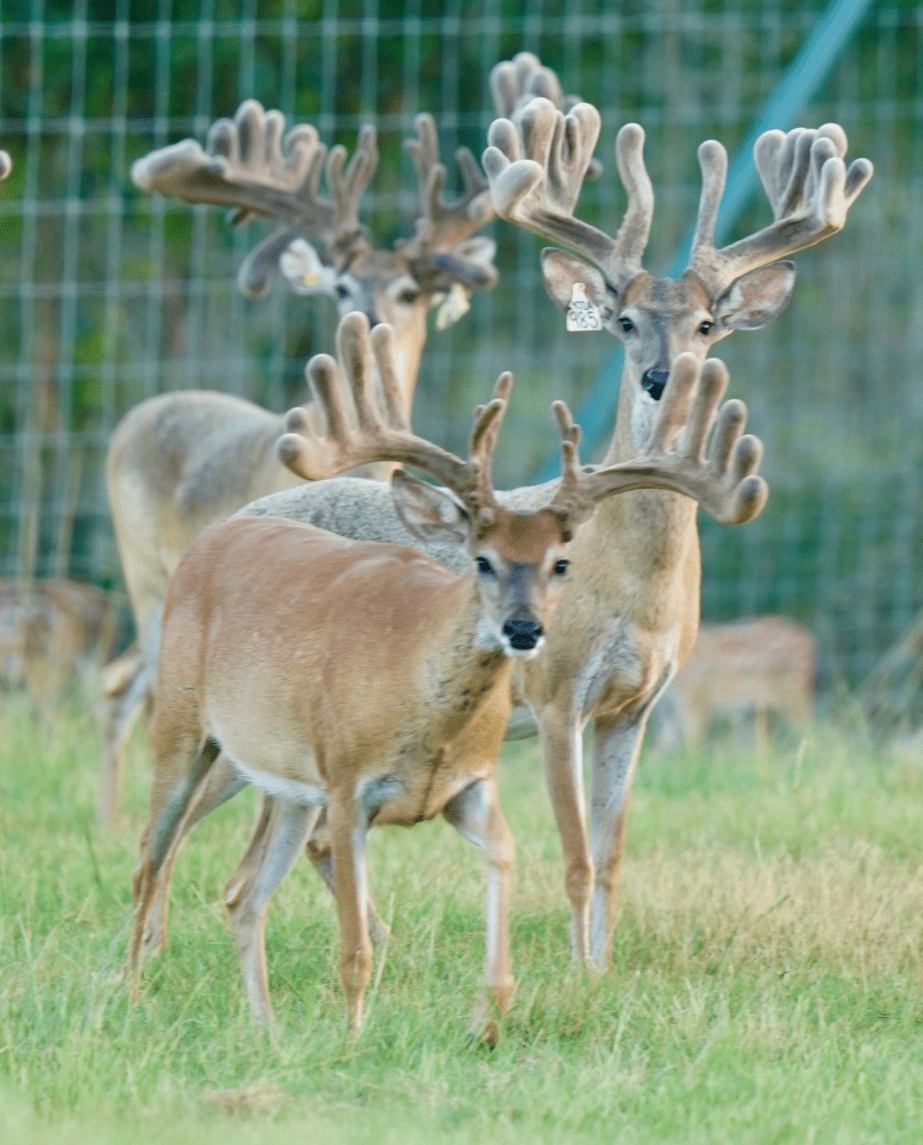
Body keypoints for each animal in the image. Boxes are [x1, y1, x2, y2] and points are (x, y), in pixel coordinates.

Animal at [100, 54, 594, 828]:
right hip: (145, 574)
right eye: (336, 284)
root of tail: (138, 414)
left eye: (413, 290)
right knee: (135, 692)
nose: (369, 319)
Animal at [172, 94, 871, 968]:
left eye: (708, 323)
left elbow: (611, 851)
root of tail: (227, 528)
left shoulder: (638, 703)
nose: (660, 376)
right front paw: (576, 971)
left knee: (280, 847)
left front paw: (602, 968)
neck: (630, 582)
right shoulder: (557, 691)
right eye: (623, 320)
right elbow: (573, 854)